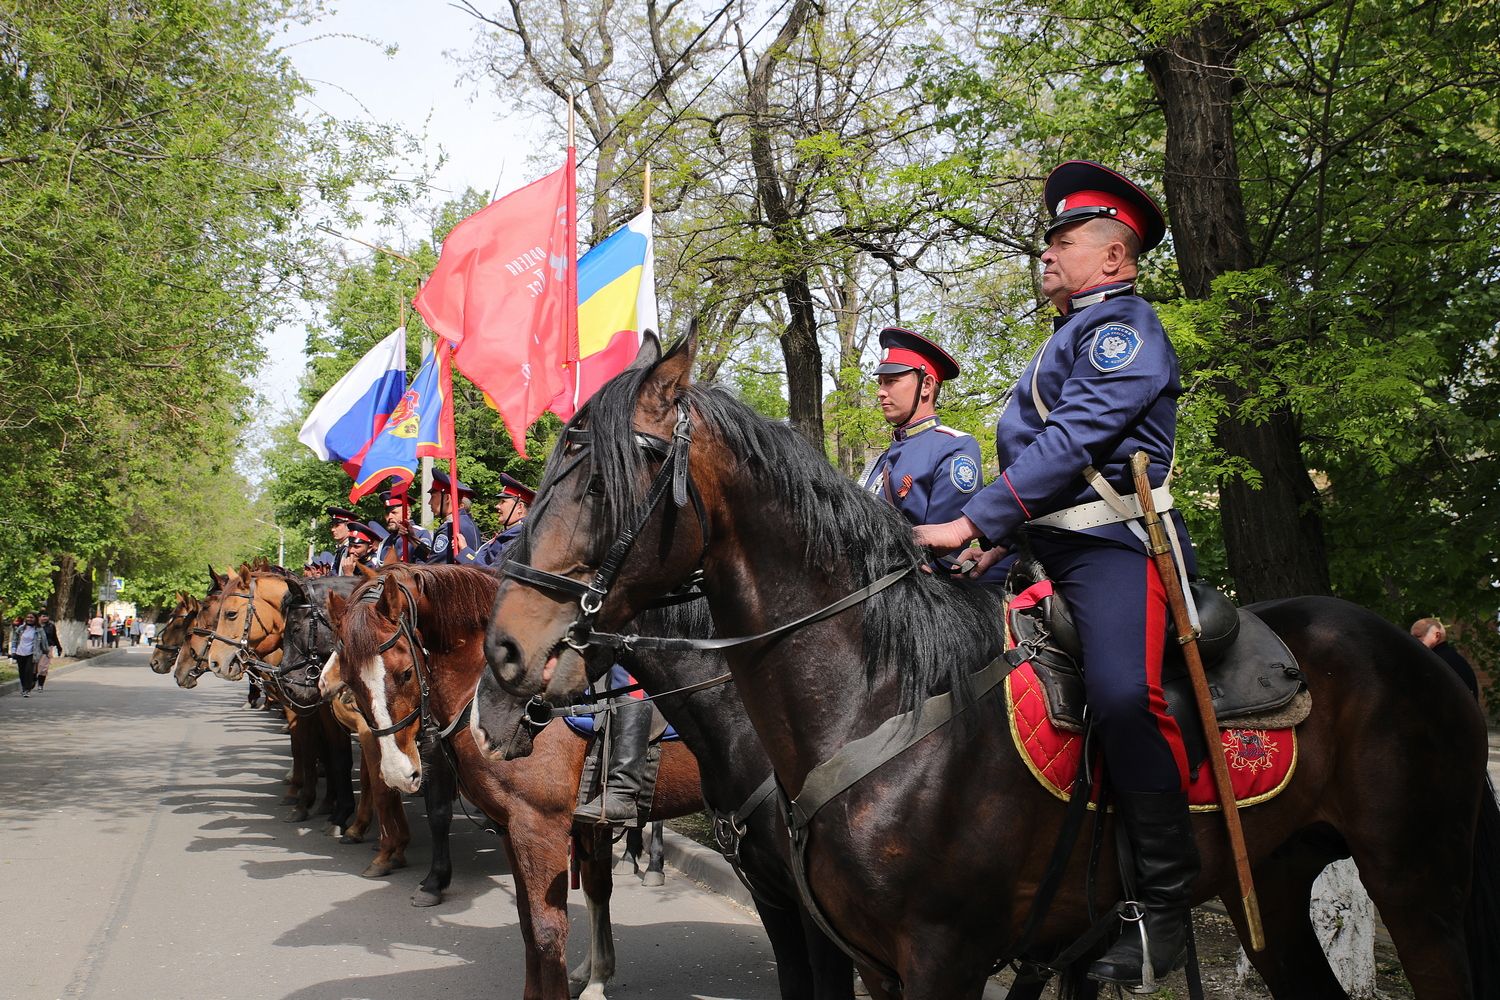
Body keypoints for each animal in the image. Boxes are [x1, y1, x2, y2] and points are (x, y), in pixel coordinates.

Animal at [321, 563, 702, 1000]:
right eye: (352, 678)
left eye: (403, 673)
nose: (400, 772)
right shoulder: (515, 829)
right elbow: (534, 919)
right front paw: (592, 976)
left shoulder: (540, 827)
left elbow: (548, 930)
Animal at [471, 335, 1500, 1000]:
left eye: (607, 471)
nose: (503, 662)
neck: (875, 697)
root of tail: (1426, 659)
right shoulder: (856, 947)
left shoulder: (938, 956)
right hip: (1280, 886)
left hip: (1418, 883)